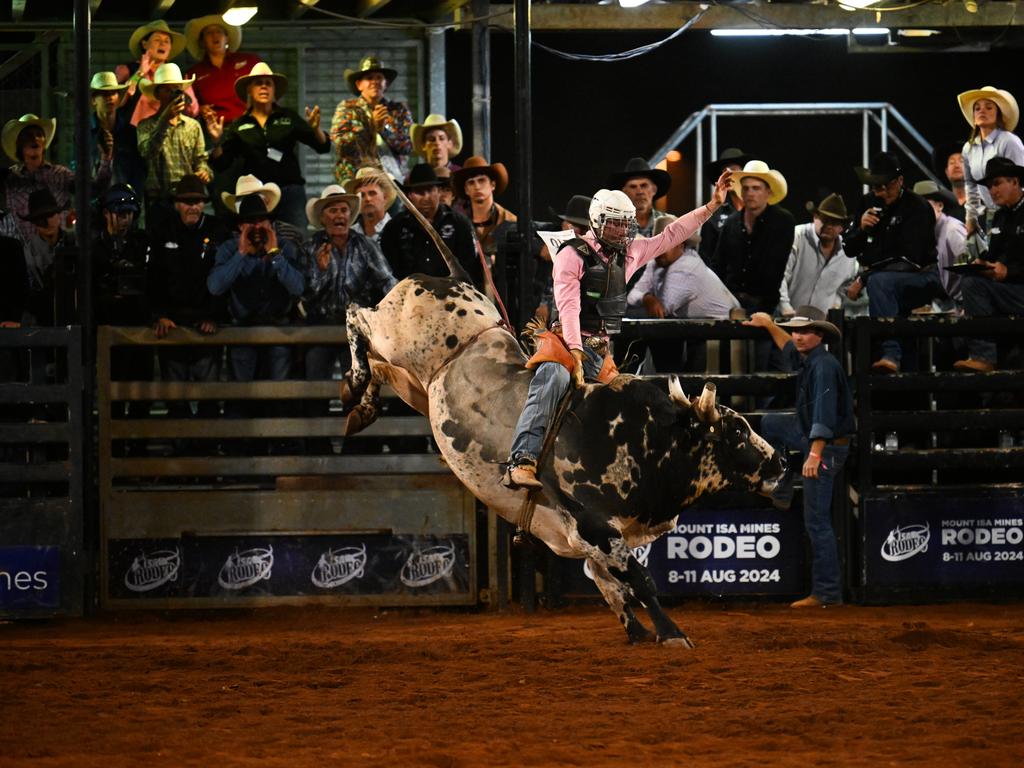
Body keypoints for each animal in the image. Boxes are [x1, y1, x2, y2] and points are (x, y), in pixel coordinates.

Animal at [339, 252, 778, 651]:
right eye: (738, 431)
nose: (781, 462)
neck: (644, 441)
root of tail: (454, 281)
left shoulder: (592, 538)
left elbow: (611, 586)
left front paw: (637, 633)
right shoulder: (594, 526)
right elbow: (638, 580)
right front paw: (671, 634)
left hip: (417, 385)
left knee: (379, 367)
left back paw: (358, 406)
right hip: (395, 336)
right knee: (357, 314)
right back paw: (355, 379)